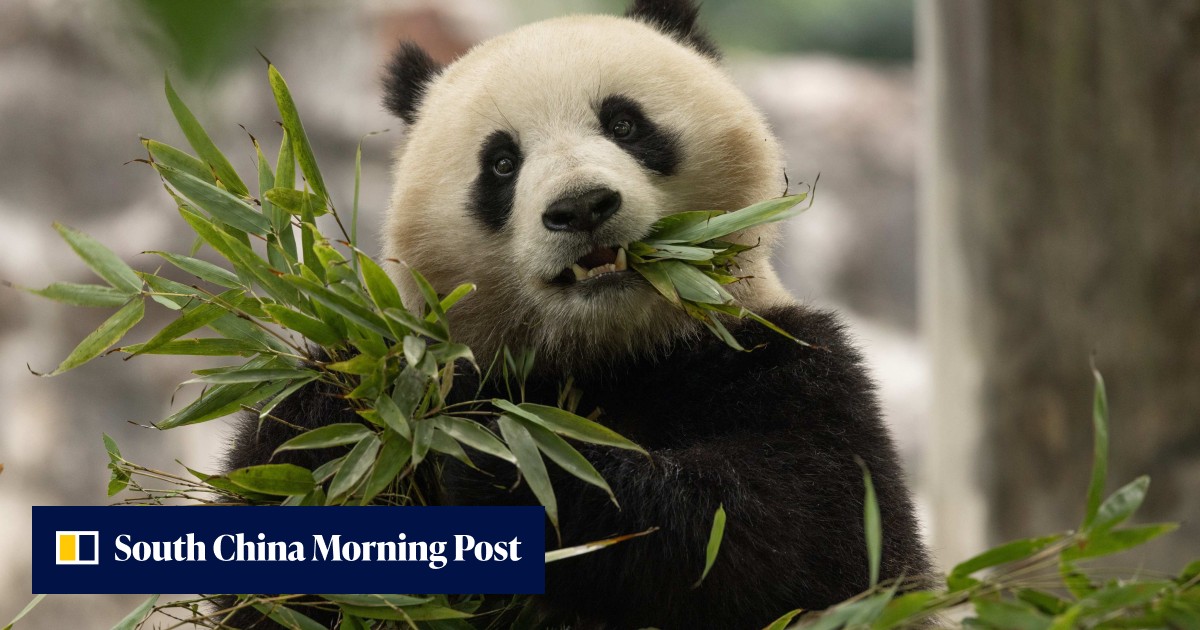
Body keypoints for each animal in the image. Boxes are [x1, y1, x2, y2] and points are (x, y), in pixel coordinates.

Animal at [225, 1, 932, 628]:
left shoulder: (787, 363)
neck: (609, 352)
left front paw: (505, 459)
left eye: (624, 125)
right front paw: (342, 410)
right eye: (501, 162)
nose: (583, 206)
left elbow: (805, 539)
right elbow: (274, 554)